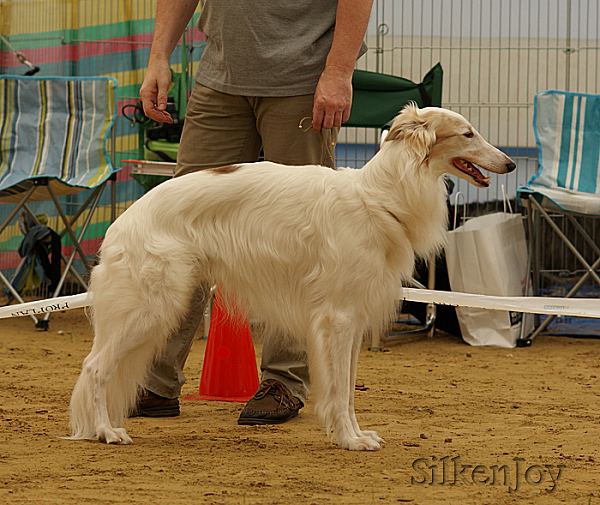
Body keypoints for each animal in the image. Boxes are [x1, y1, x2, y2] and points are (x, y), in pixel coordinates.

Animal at [67, 103, 516, 448]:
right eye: (467, 133)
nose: (511, 163)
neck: (378, 197)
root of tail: (122, 223)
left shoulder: (352, 319)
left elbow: (347, 389)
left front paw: (355, 434)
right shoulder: (337, 318)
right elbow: (338, 389)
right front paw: (349, 440)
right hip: (150, 306)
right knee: (93, 367)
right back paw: (105, 431)